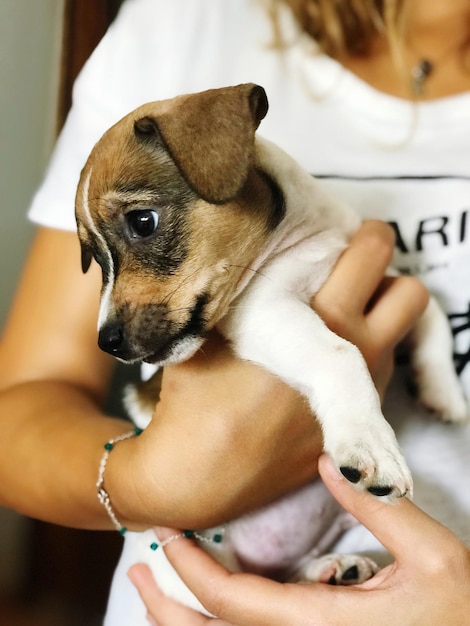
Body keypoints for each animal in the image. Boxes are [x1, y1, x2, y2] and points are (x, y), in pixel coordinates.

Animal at [75, 84, 468, 604]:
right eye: (94, 259)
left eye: (143, 222)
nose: (107, 342)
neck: (307, 234)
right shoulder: (264, 311)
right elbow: (342, 352)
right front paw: (368, 442)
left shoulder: (385, 280)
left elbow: (432, 309)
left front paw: (443, 391)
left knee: (285, 574)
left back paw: (333, 569)